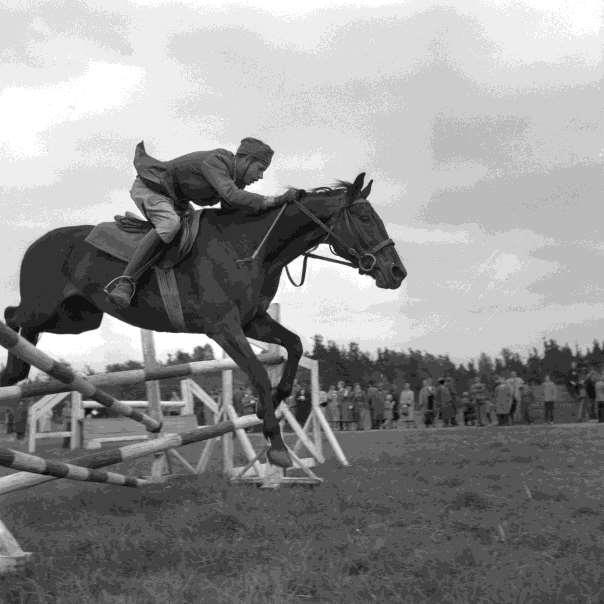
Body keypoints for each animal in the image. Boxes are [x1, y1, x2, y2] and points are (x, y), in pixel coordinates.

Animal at [1, 172, 406, 464]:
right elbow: (259, 373)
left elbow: (293, 345)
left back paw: (16, 373)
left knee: (28, 327)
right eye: (365, 216)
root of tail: (37, 244)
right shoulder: (224, 327)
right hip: (47, 308)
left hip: (78, 318)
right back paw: (12, 371)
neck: (250, 248)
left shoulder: (252, 321)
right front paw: (275, 444)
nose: (397, 272)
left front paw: (272, 401)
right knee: (13, 314)